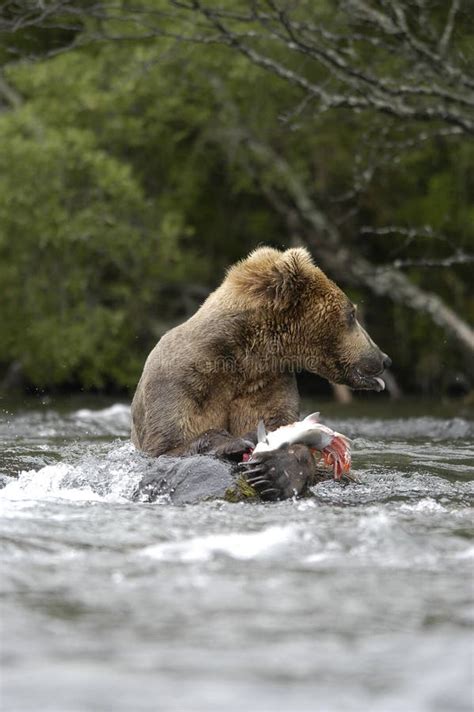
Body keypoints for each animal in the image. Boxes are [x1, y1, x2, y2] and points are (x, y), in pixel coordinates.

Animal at [131, 245, 390, 462]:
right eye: (351, 314)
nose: (384, 358)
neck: (244, 356)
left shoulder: (266, 383)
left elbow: (274, 417)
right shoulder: (181, 384)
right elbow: (167, 445)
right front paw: (236, 441)